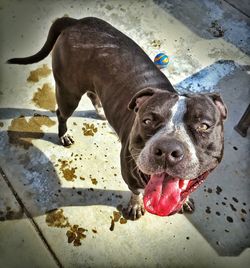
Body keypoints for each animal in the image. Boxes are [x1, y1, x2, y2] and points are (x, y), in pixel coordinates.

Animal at [7, 16, 227, 219]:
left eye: (204, 126)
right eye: (147, 121)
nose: (167, 150)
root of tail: (75, 21)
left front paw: (185, 201)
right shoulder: (129, 171)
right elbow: (136, 190)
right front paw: (135, 205)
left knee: (93, 93)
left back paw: (101, 111)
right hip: (68, 91)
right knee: (62, 113)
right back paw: (64, 135)